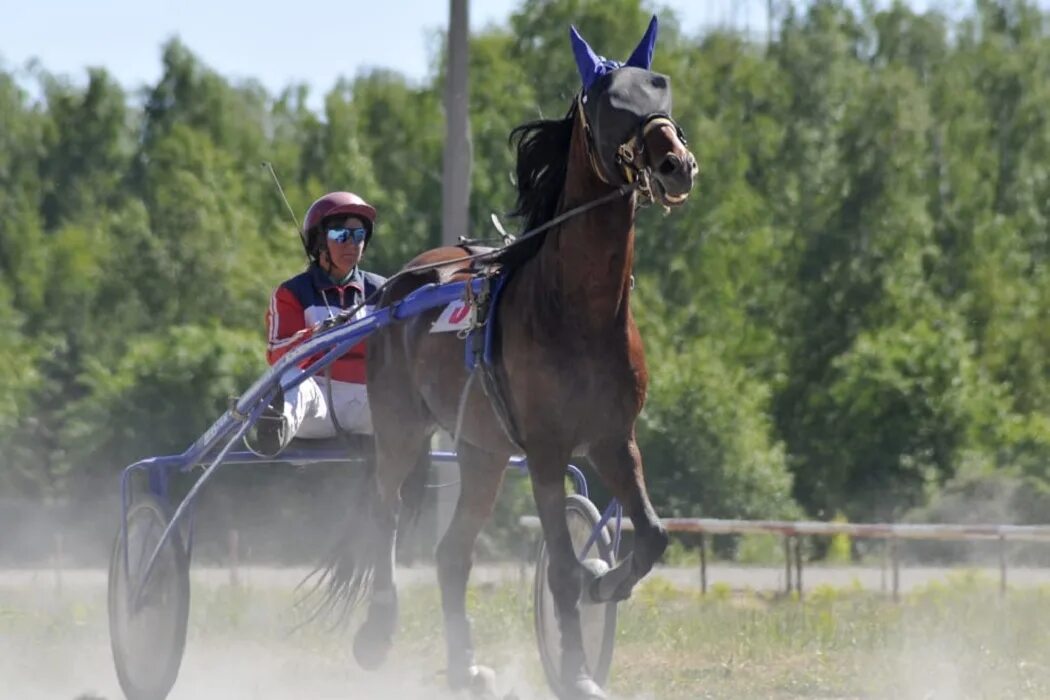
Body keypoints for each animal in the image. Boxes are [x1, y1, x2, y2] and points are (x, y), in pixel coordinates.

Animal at [306, 15, 697, 700]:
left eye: (661, 88)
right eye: (607, 102)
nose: (676, 163)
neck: (579, 310)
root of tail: (396, 287)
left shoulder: (612, 437)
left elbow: (651, 537)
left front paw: (604, 583)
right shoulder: (544, 448)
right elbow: (561, 570)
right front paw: (577, 670)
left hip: (482, 452)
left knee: (451, 555)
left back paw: (466, 667)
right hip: (401, 426)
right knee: (385, 513)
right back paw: (377, 633)